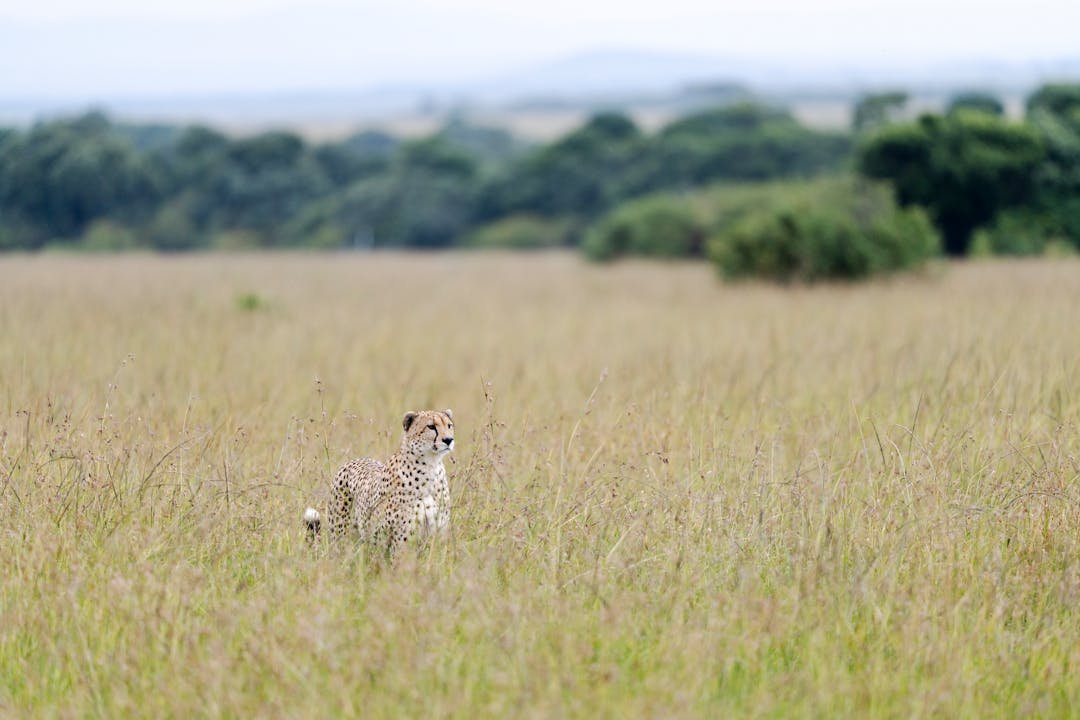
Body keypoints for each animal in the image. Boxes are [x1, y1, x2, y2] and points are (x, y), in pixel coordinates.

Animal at [304, 408, 455, 557]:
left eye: (449, 425)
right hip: (341, 537)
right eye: (431, 426)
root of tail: (351, 461)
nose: (448, 440)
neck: (430, 465)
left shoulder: (436, 537)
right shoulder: (401, 541)